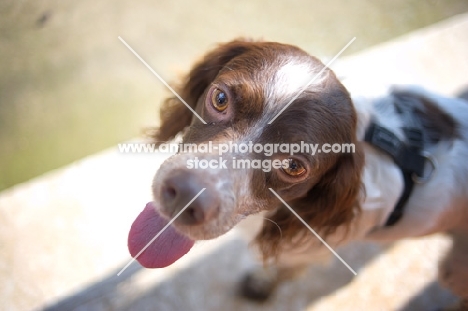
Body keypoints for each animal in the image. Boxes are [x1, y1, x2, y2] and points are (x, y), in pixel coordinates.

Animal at [126, 40, 468, 310]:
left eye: (293, 166)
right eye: (220, 99)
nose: (185, 194)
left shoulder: (303, 253)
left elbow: (281, 271)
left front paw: (260, 286)